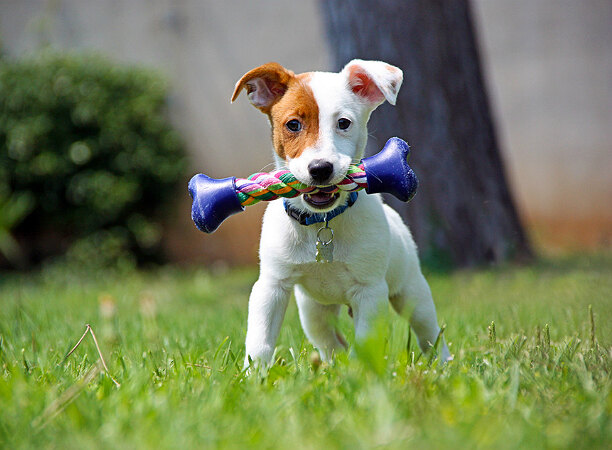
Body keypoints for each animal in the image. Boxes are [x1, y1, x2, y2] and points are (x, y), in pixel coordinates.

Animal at [230, 59, 450, 368]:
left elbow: (365, 344)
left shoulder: (370, 292)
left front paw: (361, 374)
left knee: (429, 332)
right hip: (313, 311)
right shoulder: (271, 286)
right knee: (330, 342)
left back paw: (443, 363)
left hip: (411, 292)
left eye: (343, 123)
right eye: (293, 124)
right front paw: (255, 375)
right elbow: (260, 341)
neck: (321, 222)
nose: (320, 168)